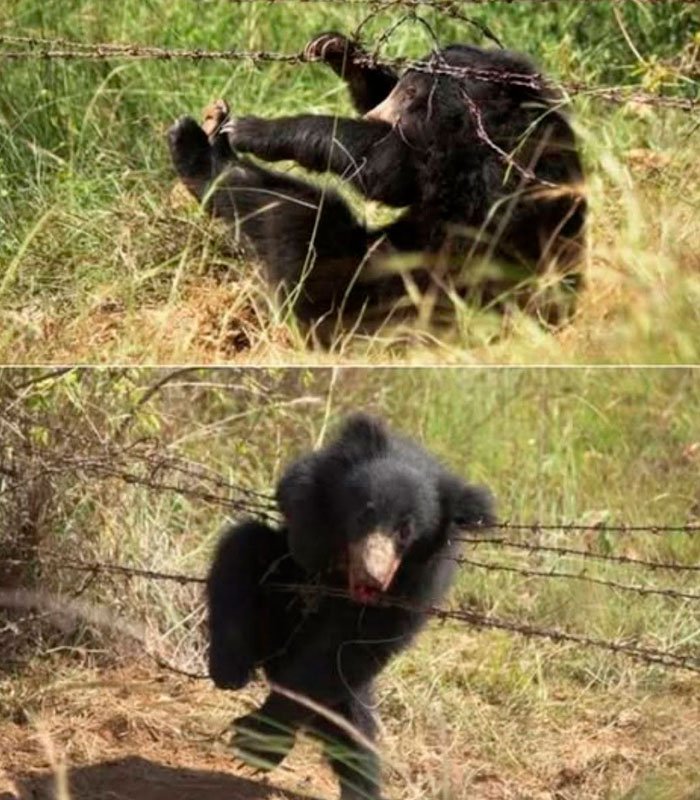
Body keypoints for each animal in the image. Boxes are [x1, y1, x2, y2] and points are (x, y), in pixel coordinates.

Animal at [207, 412, 495, 799]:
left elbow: (348, 649)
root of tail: (275, 660)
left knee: (354, 737)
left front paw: (255, 740)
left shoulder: (417, 587)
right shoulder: (322, 477)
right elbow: (294, 488)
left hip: (344, 689)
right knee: (244, 546)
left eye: (406, 532)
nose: (373, 576)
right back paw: (230, 669)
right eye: (364, 515)